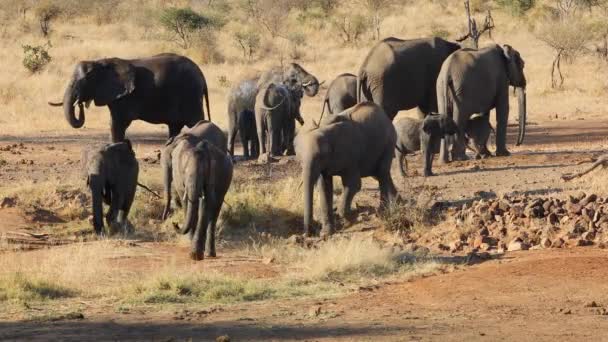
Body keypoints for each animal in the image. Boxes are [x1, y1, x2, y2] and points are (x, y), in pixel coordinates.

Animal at [47, 53, 210, 143]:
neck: (100, 62)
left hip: (190, 94)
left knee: (196, 122)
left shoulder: (124, 97)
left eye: (85, 80)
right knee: (174, 126)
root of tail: (202, 75)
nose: (79, 102)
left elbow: (118, 122)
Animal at [162, 132, 233, 260]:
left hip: (226, 180)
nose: (174, 223)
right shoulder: (179, 177)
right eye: (184, 172)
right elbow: (187, 203)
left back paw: (210, 254)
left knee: (215, 211)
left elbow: (206, 203)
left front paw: (195, 255)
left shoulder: (211, 175)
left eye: (203, 173)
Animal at [296, 101, 400, 238]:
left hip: (388, 142)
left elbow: (353, 184)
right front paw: (327, 233)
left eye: (321, 156)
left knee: (382, 173)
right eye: (300, 159)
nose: (309, 234)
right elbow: (324, 187)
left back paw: (384, 211)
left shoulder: (350, 154)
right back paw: (398, 203)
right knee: (380, 174)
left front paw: (353, 218)